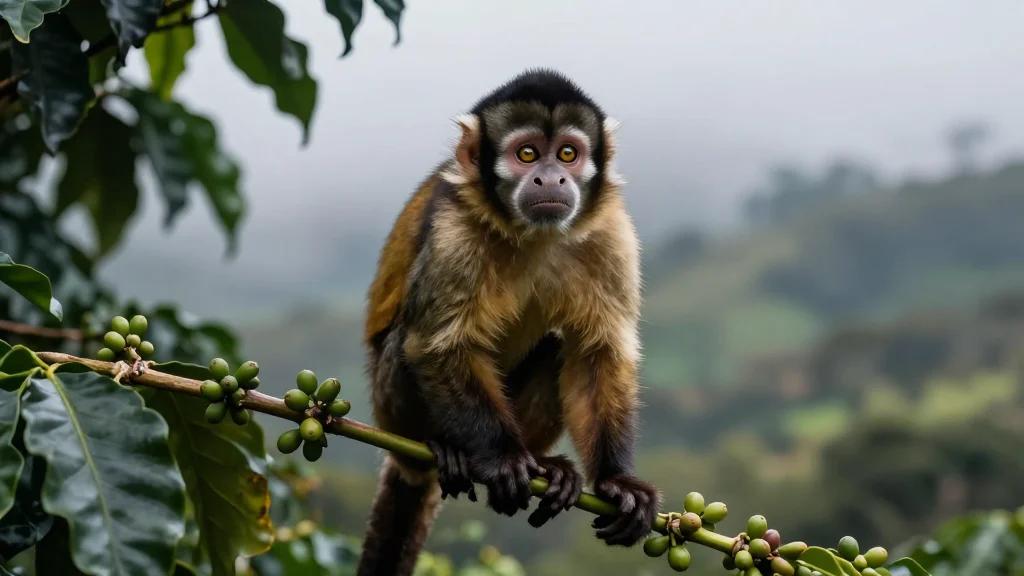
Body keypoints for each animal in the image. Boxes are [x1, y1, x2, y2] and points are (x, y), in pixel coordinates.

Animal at [357, 69, 659, 576]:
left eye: (568, 154)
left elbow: (597, 352)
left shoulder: (612, 231)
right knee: (405, 344)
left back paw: (545, 466)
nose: (551, 177)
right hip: (390, 416)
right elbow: (437, 345)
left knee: (557, 346)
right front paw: (501, 459)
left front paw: (616, 480)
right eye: (526, 154)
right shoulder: (453, 229)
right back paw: (445, 449)